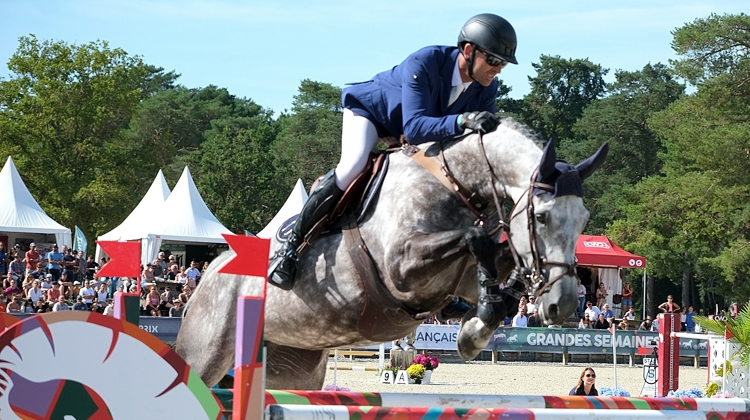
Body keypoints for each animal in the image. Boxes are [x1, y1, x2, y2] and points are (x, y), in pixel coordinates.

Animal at [178, 116, 612, 388]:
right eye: (541, 217)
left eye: (584, 219)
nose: (562, 306)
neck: (455, 181)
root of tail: (209, 274)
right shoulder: (400, 269)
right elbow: (478, 239)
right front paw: (477, 327)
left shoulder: (459, 279)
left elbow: (495, 267)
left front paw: (475, 327)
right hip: (205, 355)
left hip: (294, 368)